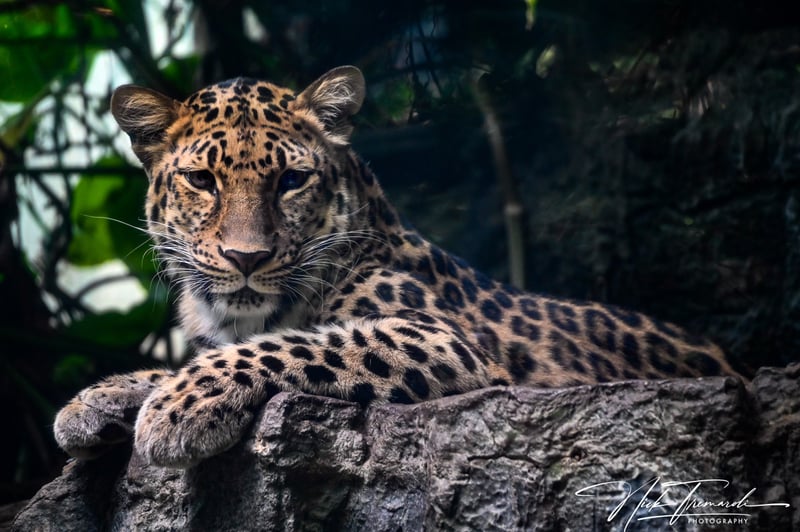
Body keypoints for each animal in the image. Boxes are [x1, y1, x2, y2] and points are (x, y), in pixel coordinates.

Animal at [53, 66, 742, 468]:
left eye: (291, 181)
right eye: (202, 181)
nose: (247, 258)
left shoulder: (438, 336)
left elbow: (294, 344)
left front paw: (177, 408)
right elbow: (193, 356)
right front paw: (97, 399)